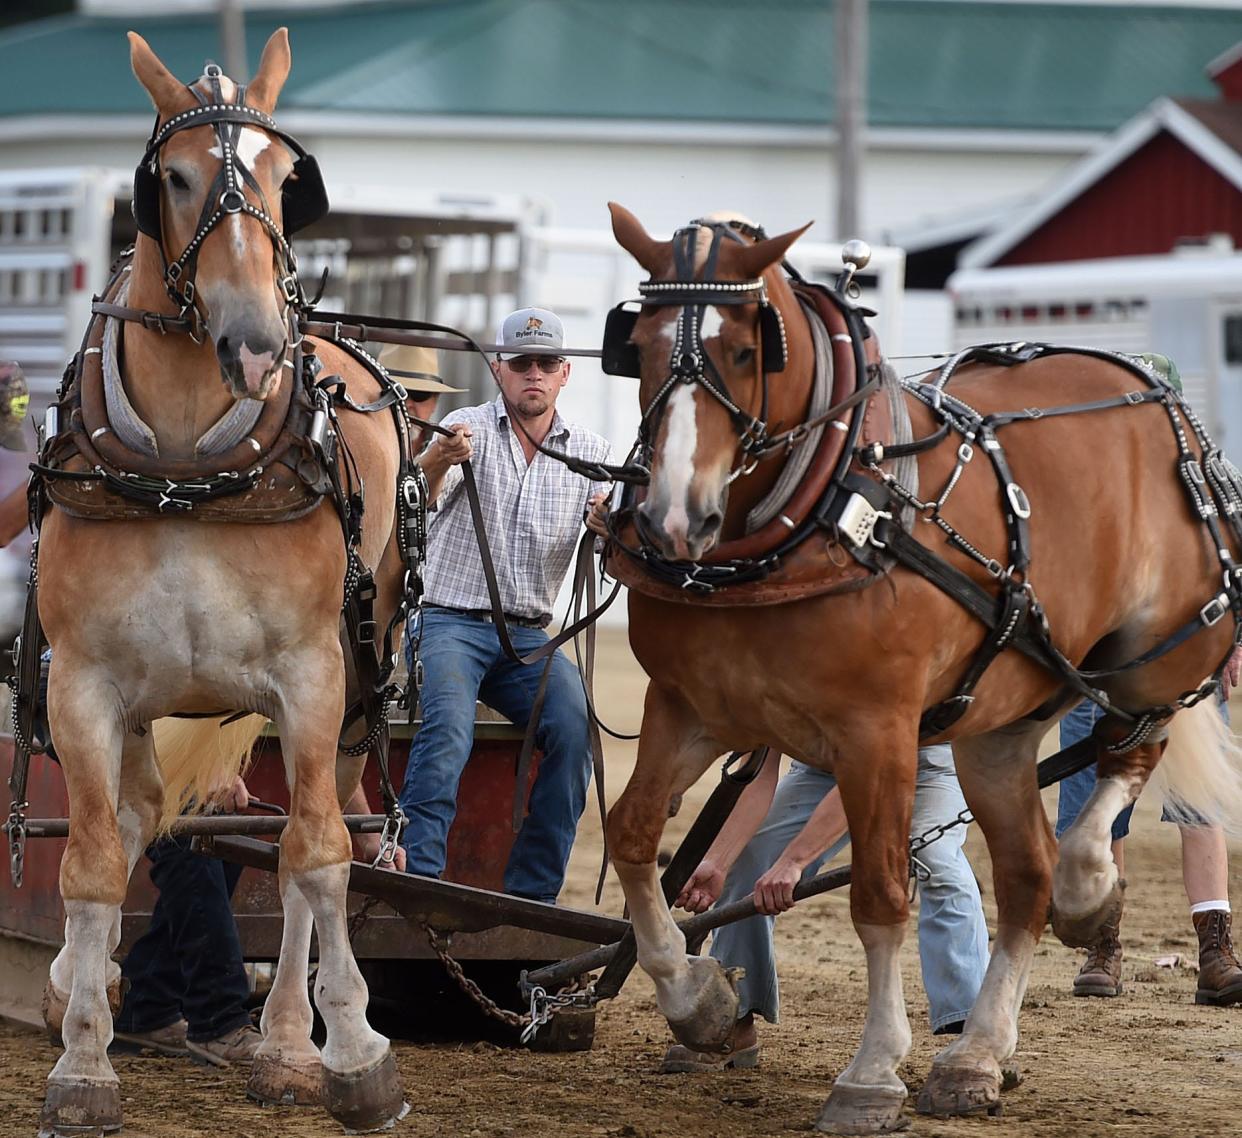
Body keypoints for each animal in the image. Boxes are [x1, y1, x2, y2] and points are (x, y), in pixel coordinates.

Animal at [30, 31, 407, 1133]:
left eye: (287, 179)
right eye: (177, 179)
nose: (255, 343)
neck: (185, 471)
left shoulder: (312, 678)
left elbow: (315, 856)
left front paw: (354, 1051)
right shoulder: (84, 686)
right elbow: (94, 857)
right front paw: (83, 1060)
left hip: (355, 694)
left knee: (309, 843)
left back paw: (286, 1043)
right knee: (141, 814)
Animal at [601, 206, 1242, 1138]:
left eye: (750, 350)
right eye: (638, 344)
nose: (674, 519)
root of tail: (1163, 401)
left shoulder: (876, 732)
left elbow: (878, 896)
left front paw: (870, 1076)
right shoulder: (690, 709)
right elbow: (633, 834)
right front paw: (699, 1002)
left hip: (1163, 654)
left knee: (1131, 751)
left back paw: (1090, 889)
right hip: (997, 729)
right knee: (1024, 875)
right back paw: (977, 1055)